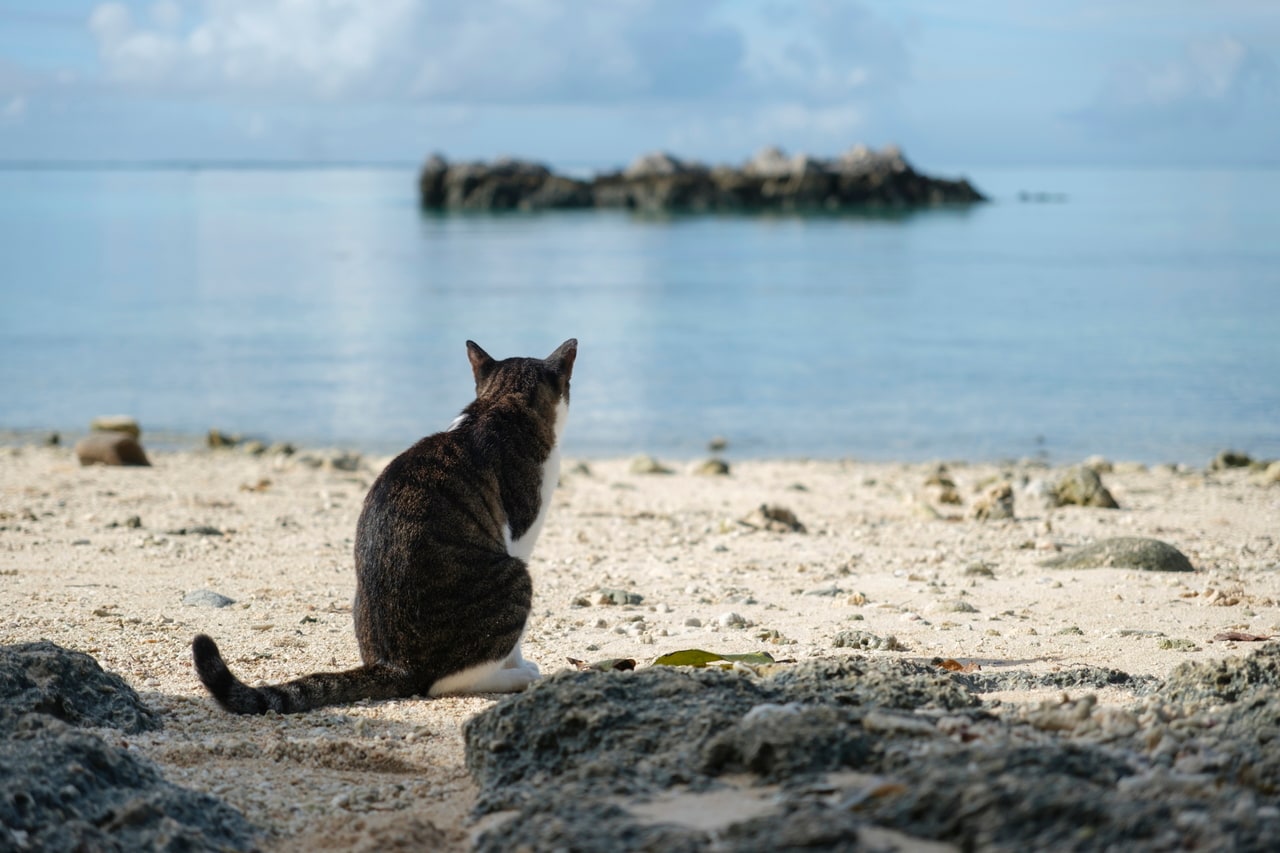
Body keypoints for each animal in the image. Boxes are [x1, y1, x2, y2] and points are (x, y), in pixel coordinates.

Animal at [192, 338, 578, 712]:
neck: (500, 403)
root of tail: (395, 666)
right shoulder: (520, 536)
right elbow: (514, 645)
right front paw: (519, 665)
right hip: (514, 575)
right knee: (445, 683)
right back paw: (517, 678)